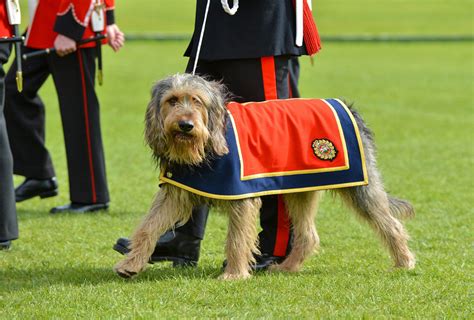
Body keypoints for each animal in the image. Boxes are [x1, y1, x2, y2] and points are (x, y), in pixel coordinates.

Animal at [115, 74, 414, 278]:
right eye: (172, 101)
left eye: (196, 101)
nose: (185, 125)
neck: (206, 147)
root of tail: (349, 108)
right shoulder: (175, 194)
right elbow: (148, 227)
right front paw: (131, 264)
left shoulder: (240, 197)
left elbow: (237, 239)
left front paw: (234, 275)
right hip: (300, 190)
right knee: (308, 236)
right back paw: (288, 266)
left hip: (361, 188)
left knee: (390, 224)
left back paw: (404, 262)